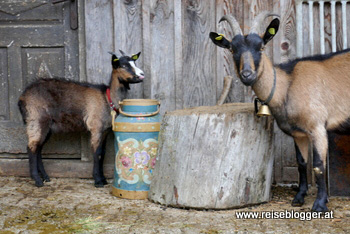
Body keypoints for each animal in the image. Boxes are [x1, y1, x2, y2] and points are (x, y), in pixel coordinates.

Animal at [211, 11, 350, 212]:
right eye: (231, 49)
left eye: (261, 47)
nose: (247, 75)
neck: (287, 86)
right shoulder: (299, 133)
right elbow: (301, 163)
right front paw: (299, 198)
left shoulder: (317, 127)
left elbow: (318, 165)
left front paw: (319, 204)